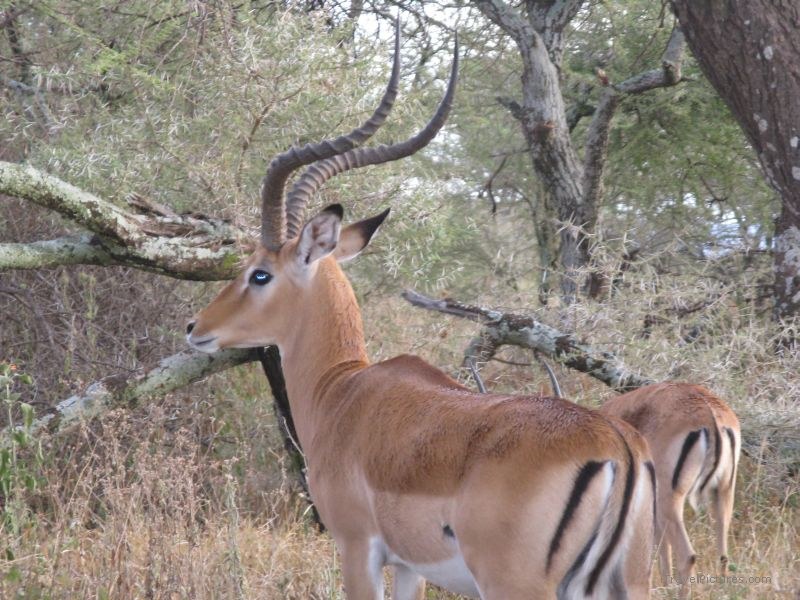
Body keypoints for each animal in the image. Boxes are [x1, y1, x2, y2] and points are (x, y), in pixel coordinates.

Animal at [187, 28, 656, 599]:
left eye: (260, 273)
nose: (195, 328)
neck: (342, 392)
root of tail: (616, 445)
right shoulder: (411, 565)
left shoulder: (358, 548)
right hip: (628, 584)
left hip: (517, 584)